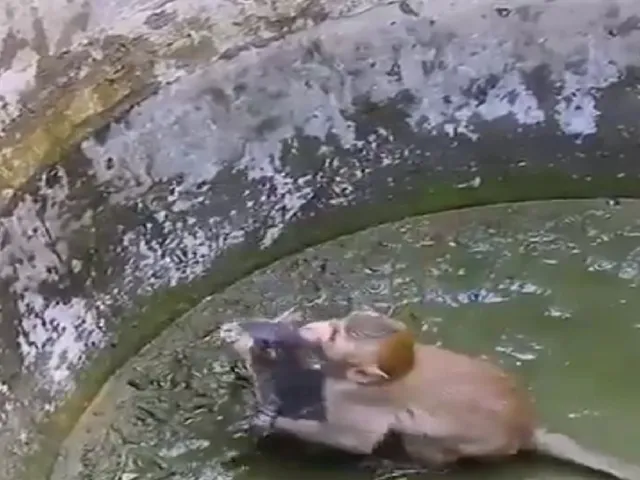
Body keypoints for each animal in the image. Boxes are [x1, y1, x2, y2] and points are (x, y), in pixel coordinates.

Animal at [293, 309, 640, 480]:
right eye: (336, 324)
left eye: (335, 335)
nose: (315, 328)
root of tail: (526, 427)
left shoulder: (359, 396)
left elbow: (349, 439)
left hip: (475, 443)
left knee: (426, 440)